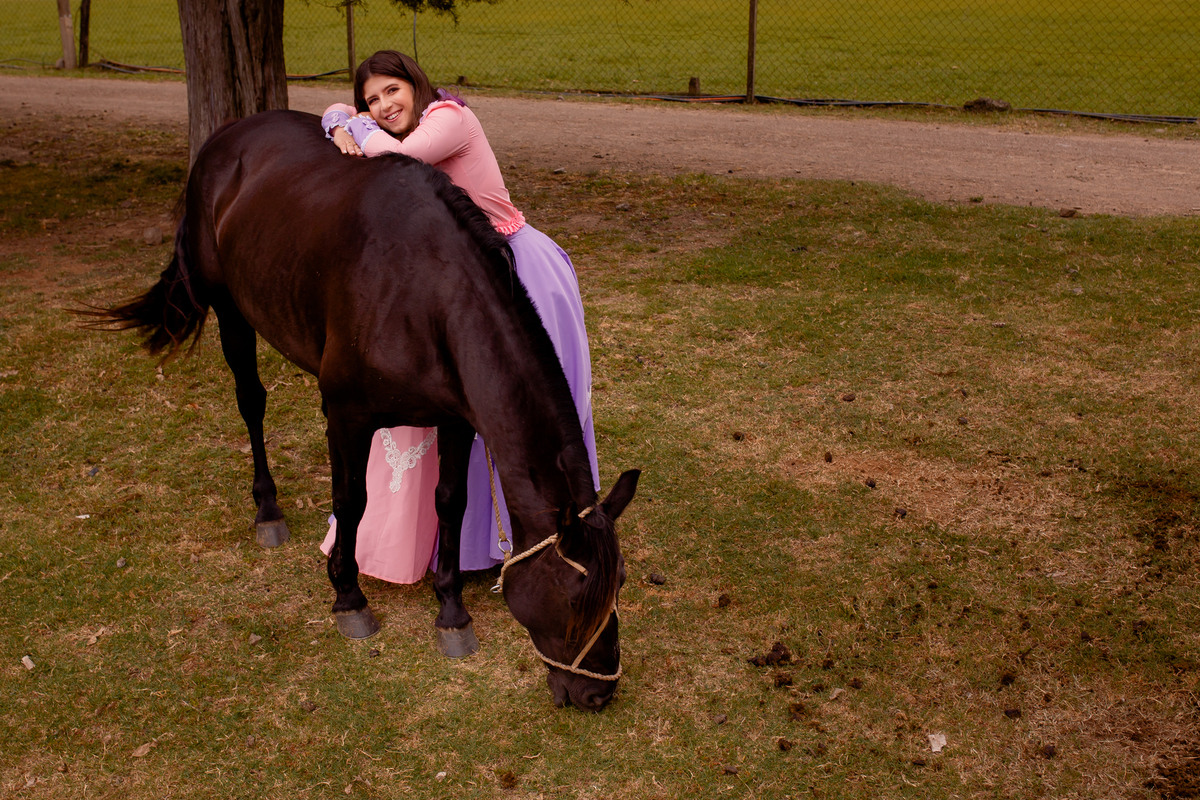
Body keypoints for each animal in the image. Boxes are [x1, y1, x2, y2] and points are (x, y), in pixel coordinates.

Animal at [87, 110, 639, 711]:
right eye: (573, 596)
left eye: (620, 584)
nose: (598, 693)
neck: (427, 293)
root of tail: (228, 134)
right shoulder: (350, 417)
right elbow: (352, 502)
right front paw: (348, 597)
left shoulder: (455, 418)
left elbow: (450, 502)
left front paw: (451, 609)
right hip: (230, 309)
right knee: (251, 402)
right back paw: (268, 510)